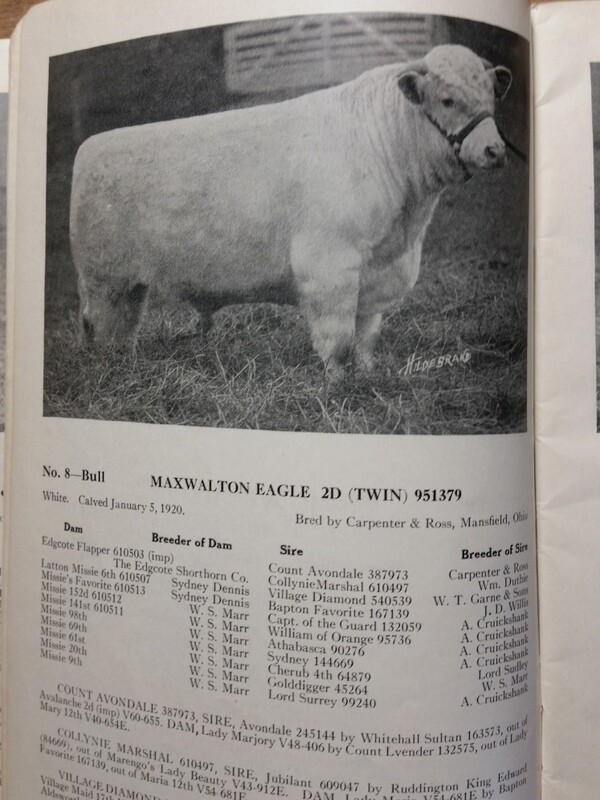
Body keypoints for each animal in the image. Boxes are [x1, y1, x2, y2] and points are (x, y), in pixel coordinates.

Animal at [70, 44, 512, 380]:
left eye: (492, 96)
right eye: (448, 100)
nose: (495, 150)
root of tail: (90, 146)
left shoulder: (378, 274)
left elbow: (365, 336)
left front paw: (368, 375)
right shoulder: (328, 266)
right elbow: (339, 340)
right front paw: (338, 384)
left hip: (129, 285)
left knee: (122, 328)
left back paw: (126, 367)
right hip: (105, 279)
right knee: (98, 326)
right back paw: (109, 373)